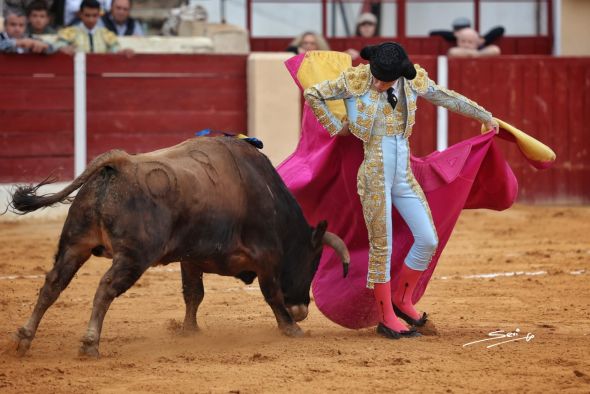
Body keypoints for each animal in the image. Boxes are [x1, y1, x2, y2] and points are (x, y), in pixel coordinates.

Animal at [10, 138, 352, 358]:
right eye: (313, 262)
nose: (302, 310)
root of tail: (120, 163)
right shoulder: (267, 257)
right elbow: (272, 295)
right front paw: (290, 328)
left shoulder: (191, 258)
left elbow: (193, 294)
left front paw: (189, 330)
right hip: (133, 257)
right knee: (105, 288)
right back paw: (90, 343)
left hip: (75, 243)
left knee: (53, 283)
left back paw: (24, 338)